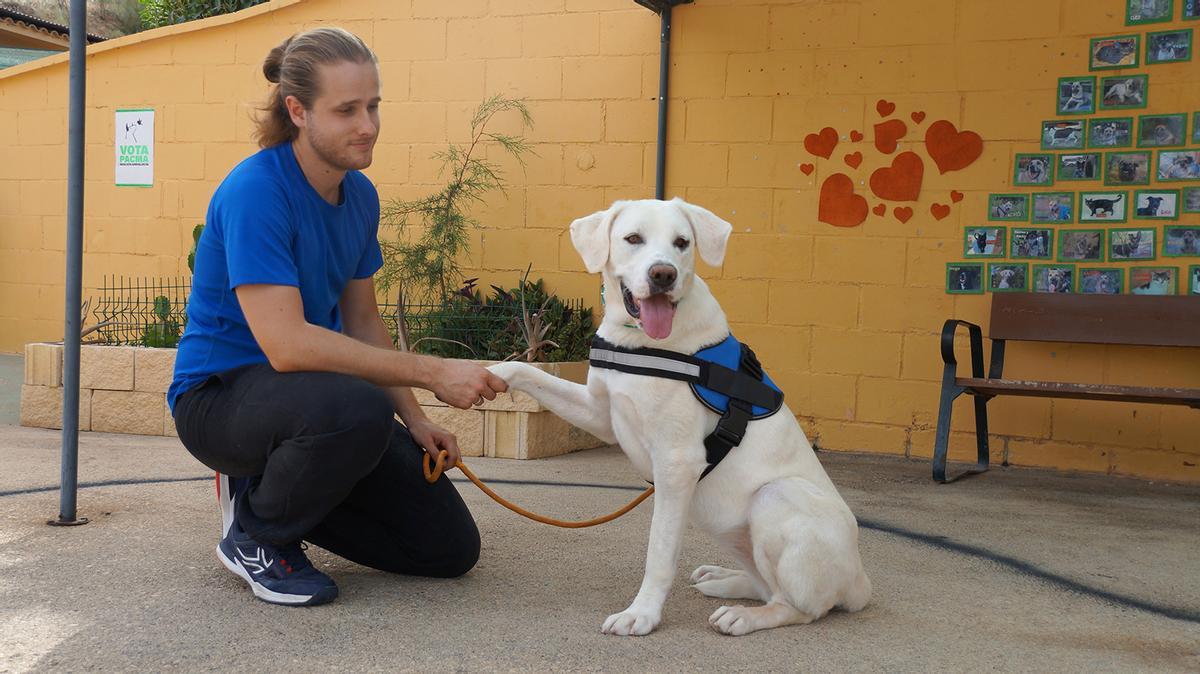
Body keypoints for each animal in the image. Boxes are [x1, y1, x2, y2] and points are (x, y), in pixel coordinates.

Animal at [489, 196, 873, 633]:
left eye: (682, 243)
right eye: (633, 238)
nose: (663, 274)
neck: (641, 340)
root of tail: (860, 581)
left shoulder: (676, 464)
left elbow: (659, 552)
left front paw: (641, 614)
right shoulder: (600, 412)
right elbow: (532, 373)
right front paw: (491, 375)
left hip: (775, 497)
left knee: (799, 606)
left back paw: (744, 616)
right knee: (765, 584)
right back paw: (722, 579)